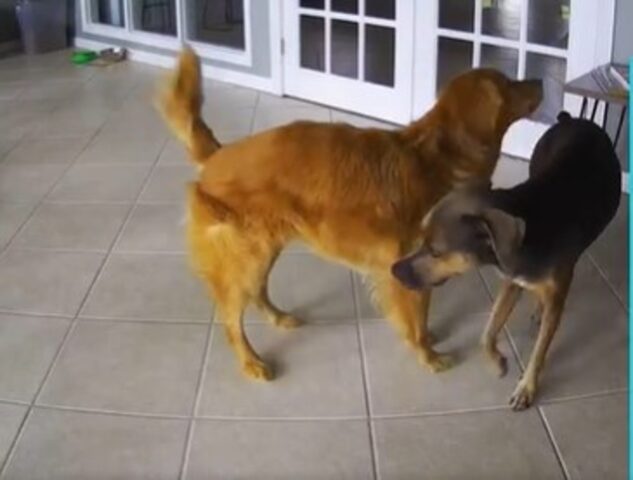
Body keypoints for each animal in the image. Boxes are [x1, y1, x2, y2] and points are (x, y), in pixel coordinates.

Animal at [158, 47, 544, 380]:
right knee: (230, 319)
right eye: (509, 83)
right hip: (247, 255)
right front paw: (428, 355)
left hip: (264, 250)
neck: (441, 155)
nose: (541, 80)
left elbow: (420, 313)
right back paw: (251, 361)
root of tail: (216, 156)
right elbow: (416, 317)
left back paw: (278, 318)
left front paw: (428, 340)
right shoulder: (407, 263)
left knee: (257, 292)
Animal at [392, 111, 620, 408]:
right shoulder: (512, 282)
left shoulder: (552, 292)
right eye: (422, 240)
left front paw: (527, 388)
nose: (394, 270)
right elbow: (486, 333)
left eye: (436, 252)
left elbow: (539, 352)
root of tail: (573, 119)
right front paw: (498, 361)